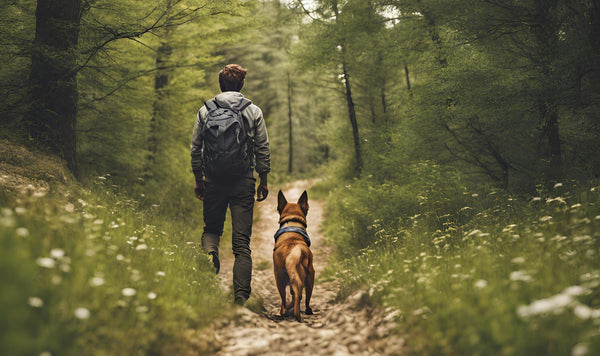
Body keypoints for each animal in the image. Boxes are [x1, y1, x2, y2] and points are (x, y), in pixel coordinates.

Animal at [274, 191, 316, 322]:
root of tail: (295, 253)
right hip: (309, 278)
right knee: (302, 298)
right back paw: (302, 313)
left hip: (280, 280)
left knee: (287, 301)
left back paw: (287, 312)